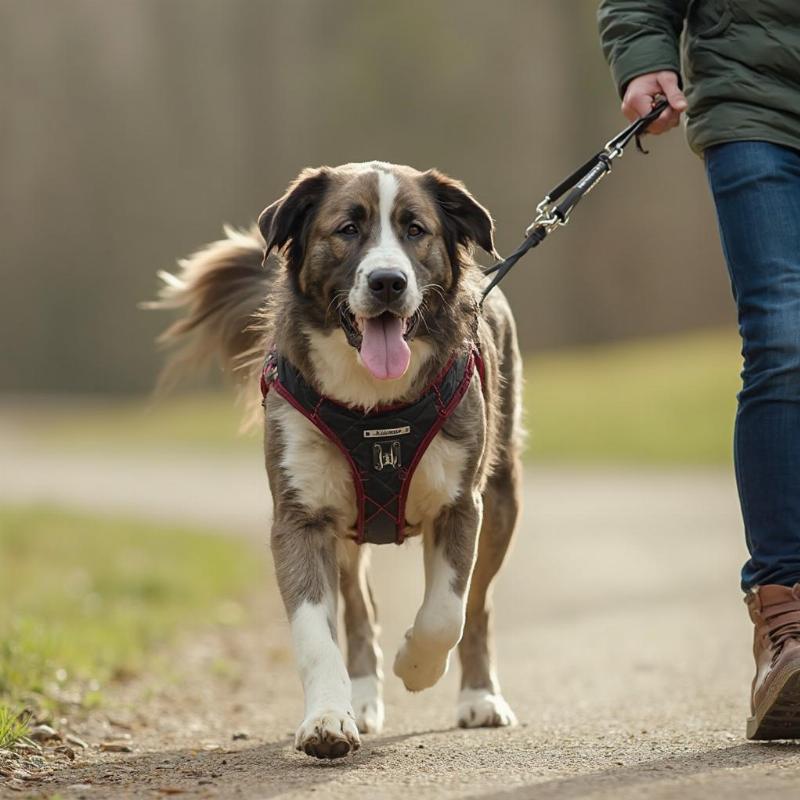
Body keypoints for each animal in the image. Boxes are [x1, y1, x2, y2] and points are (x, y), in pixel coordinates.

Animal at [152, 159, 524, 760]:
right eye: (348, 228)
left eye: (415, 229)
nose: (388, 282)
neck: (374, 405)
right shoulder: (302, 516)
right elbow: (315, 634)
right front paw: (329, 719)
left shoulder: (461, 503)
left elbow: (447, 611)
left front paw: (416, 666)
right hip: (349, 526)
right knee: (360, 609)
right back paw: (364, 699)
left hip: (504, 490)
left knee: (479, 606)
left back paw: (479, 697)